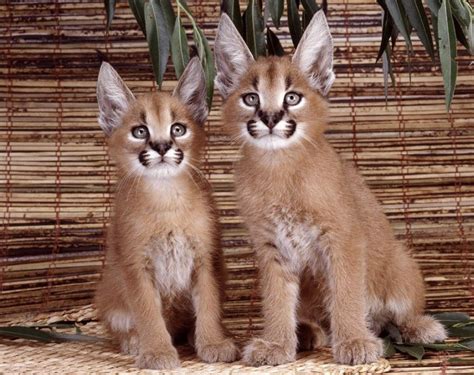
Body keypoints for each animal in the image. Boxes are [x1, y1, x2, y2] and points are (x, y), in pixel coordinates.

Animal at [95, 57, 237, 372]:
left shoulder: (206, 258)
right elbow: (148, 311)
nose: (161, 146)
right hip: (111, 292)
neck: (166, 198)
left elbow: (209, 303)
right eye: (140, 131)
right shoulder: (136, 263)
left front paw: (212, 343)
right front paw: (157, 350)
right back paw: (134, 341)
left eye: (178, 129)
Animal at [213, 12, 446, 368]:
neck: (280, 167)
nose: (270, 118)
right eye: (251, 98)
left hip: (401, 263)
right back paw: (308, 332)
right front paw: (277, 343)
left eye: (292, 97)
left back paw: (417, 327)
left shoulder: (344, 238)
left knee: (397, 313)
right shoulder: (271, 247)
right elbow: (276, 299)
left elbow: (347, 292)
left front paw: (353, 341)